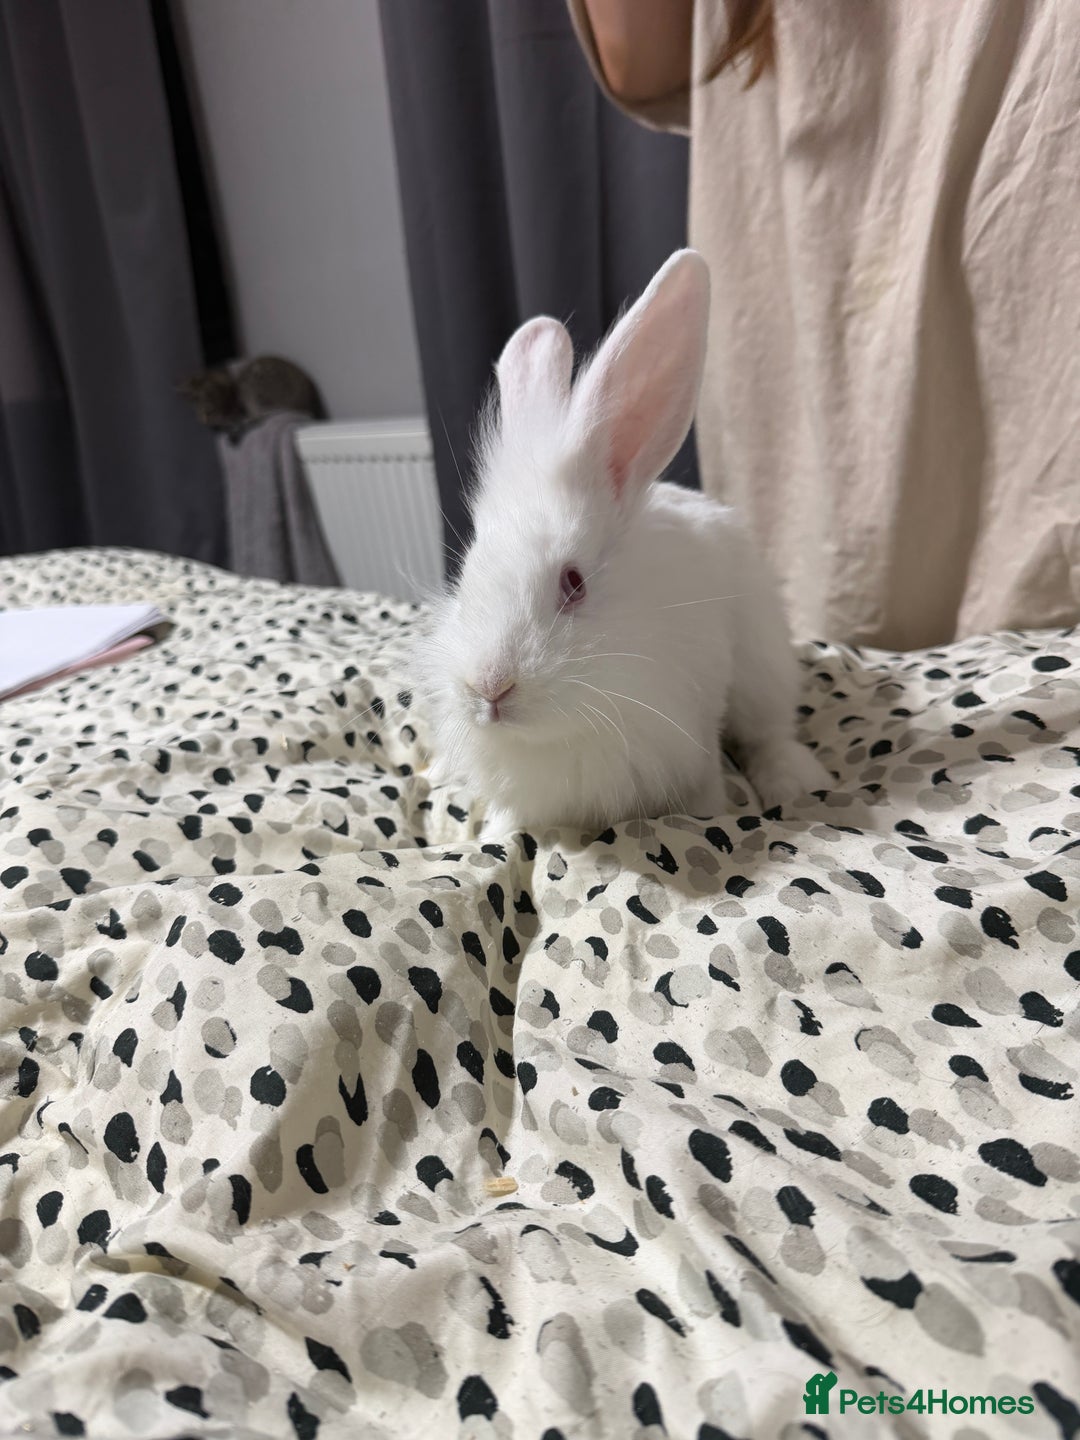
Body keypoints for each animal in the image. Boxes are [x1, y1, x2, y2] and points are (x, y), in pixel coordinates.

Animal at [416, 249, 831, 839]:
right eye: (465, 575)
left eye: (574, 583)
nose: (488, 687)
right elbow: (510, 820)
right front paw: (489, 837)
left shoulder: (695, 729)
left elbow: (706, 792)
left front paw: (715, 814)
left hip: (763, 669)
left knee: (768, 733)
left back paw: (793, 781)